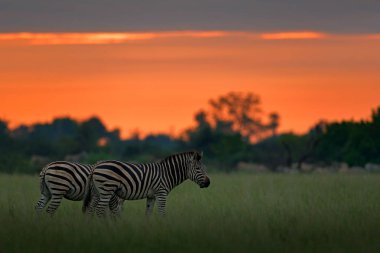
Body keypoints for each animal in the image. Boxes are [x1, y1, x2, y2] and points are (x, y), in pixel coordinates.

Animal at [82, 151, 211, 216]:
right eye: (198, 168)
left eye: (205, 167)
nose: (209, 183)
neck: (166, 173)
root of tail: (96, 166)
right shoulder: (161, 194)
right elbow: (161, 213)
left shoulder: (151, 196)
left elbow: (148, 214)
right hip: (106, 190)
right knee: (99, 210)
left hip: (97, 192)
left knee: (90, 209)